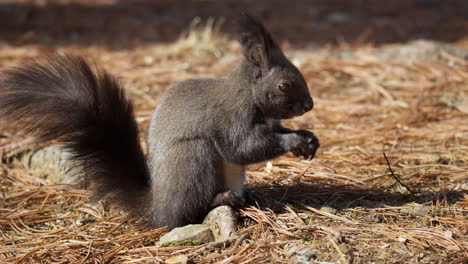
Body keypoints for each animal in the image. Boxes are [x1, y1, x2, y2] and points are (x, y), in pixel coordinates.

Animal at [0, 14, 318, 228]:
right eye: (284, 85)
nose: (309, 105)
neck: (248, 92)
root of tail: (157, 206)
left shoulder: (271, 123)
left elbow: (275, 133)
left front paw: (308, 137)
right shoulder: (232, 117)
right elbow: (243, 148)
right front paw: (294, 141)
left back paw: (248, 197)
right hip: (193, 157)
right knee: (185, 214)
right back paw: (221, 201)